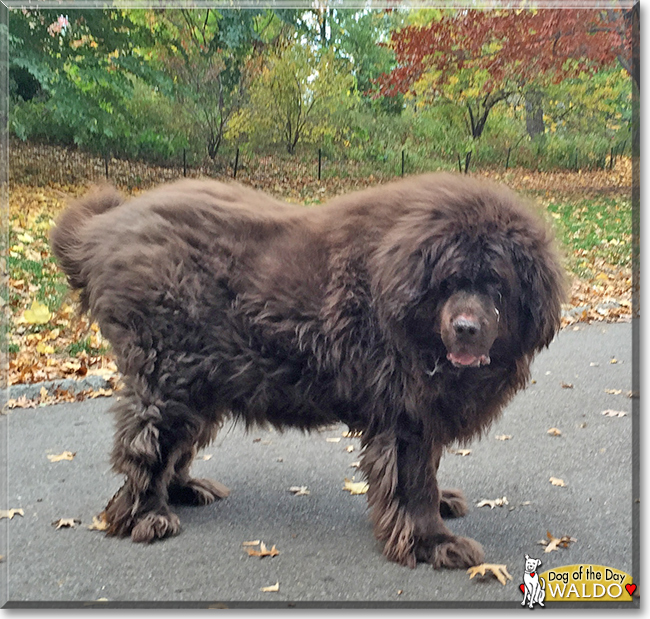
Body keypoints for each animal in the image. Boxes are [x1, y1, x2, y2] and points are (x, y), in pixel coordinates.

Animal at [50, 172, 560, 568]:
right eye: (449, 282)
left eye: (497, 285)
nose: (466, 328)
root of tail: (101, 229)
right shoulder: (404, 414)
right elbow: (413, 483)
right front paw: (434, 544)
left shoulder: (424, 409)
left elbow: (427, 473)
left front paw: (439, 512)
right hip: (169, 375)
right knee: (147, 443)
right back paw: (147, 516)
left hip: (204, 379)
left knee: (176, 444)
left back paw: (185, 490)